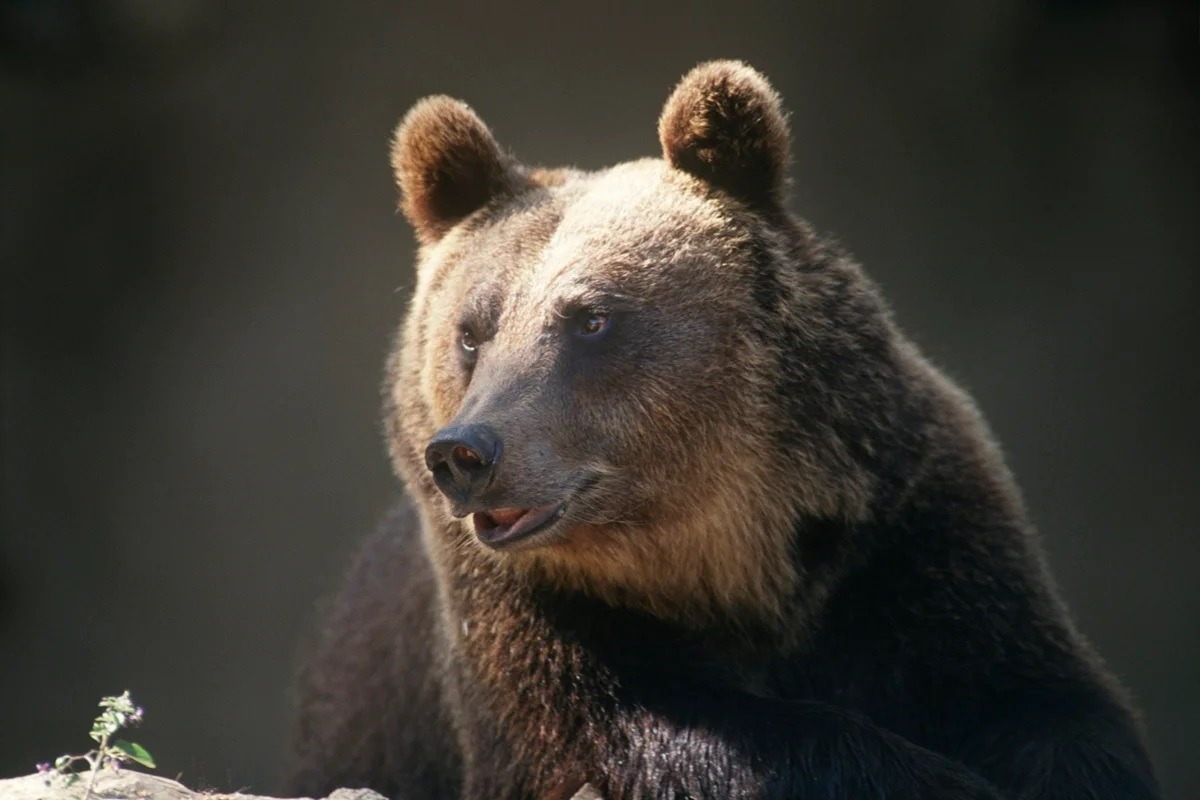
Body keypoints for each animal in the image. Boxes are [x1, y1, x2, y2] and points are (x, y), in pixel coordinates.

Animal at [285, 61, 1159, 800]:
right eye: (472, 331)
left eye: (591, 319)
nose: (467, 453)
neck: (723, 550)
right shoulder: (520, 612)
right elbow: (633, 736)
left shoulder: (905, 530)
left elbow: (1043, 701)